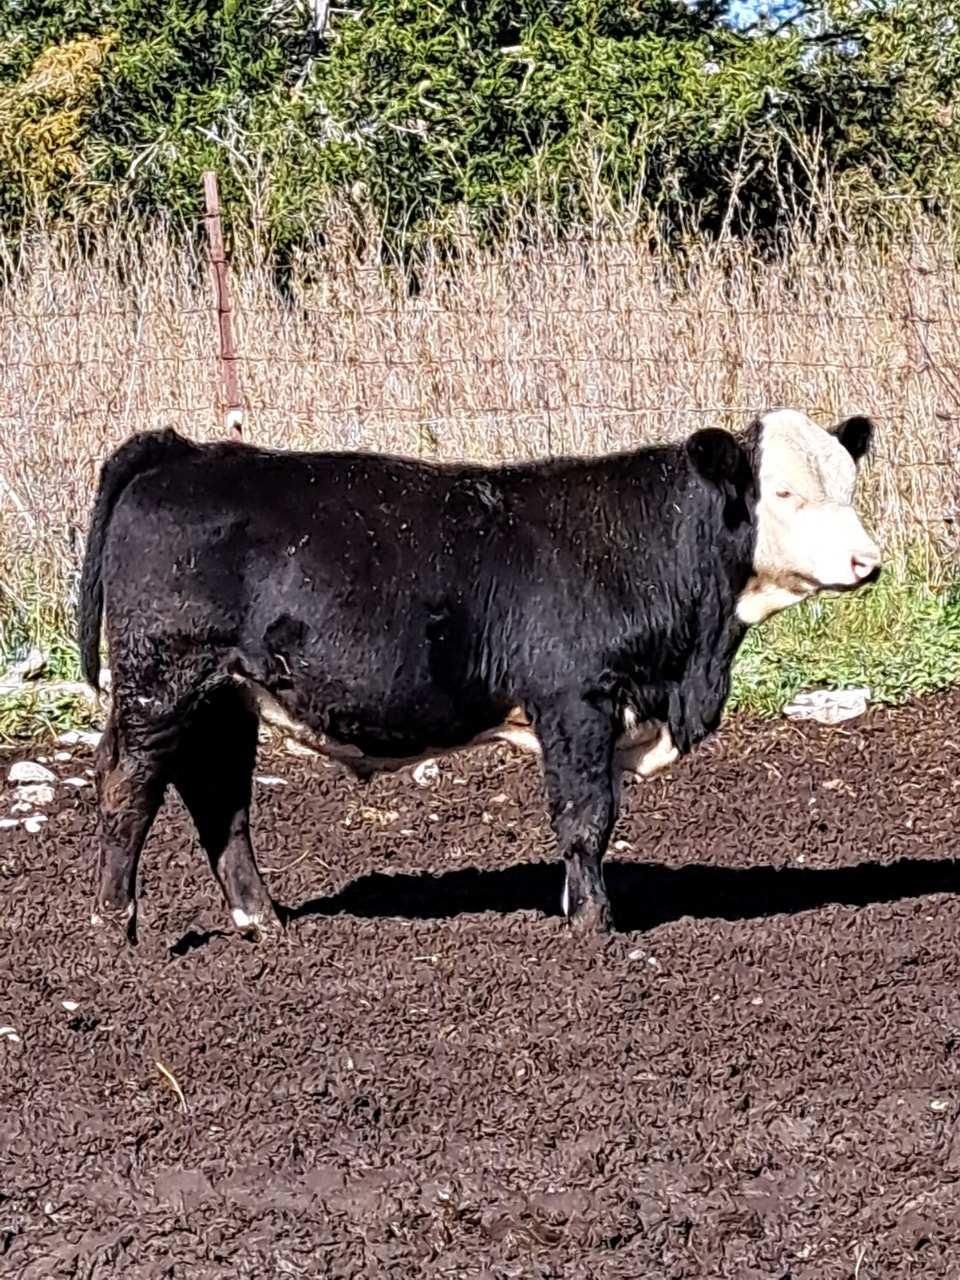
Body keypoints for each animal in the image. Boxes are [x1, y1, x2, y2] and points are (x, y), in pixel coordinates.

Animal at [78, 408, 880, 943]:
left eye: (849, 487)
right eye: (783, 494)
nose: (866, 561)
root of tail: (184, 452)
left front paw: (578, 907)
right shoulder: (576, 701)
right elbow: (585, 817)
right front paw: (595, 928)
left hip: (224, 697)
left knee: (218, 797)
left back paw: (262, 922)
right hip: (160, 682)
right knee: (128, 787)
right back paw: (118, 930)